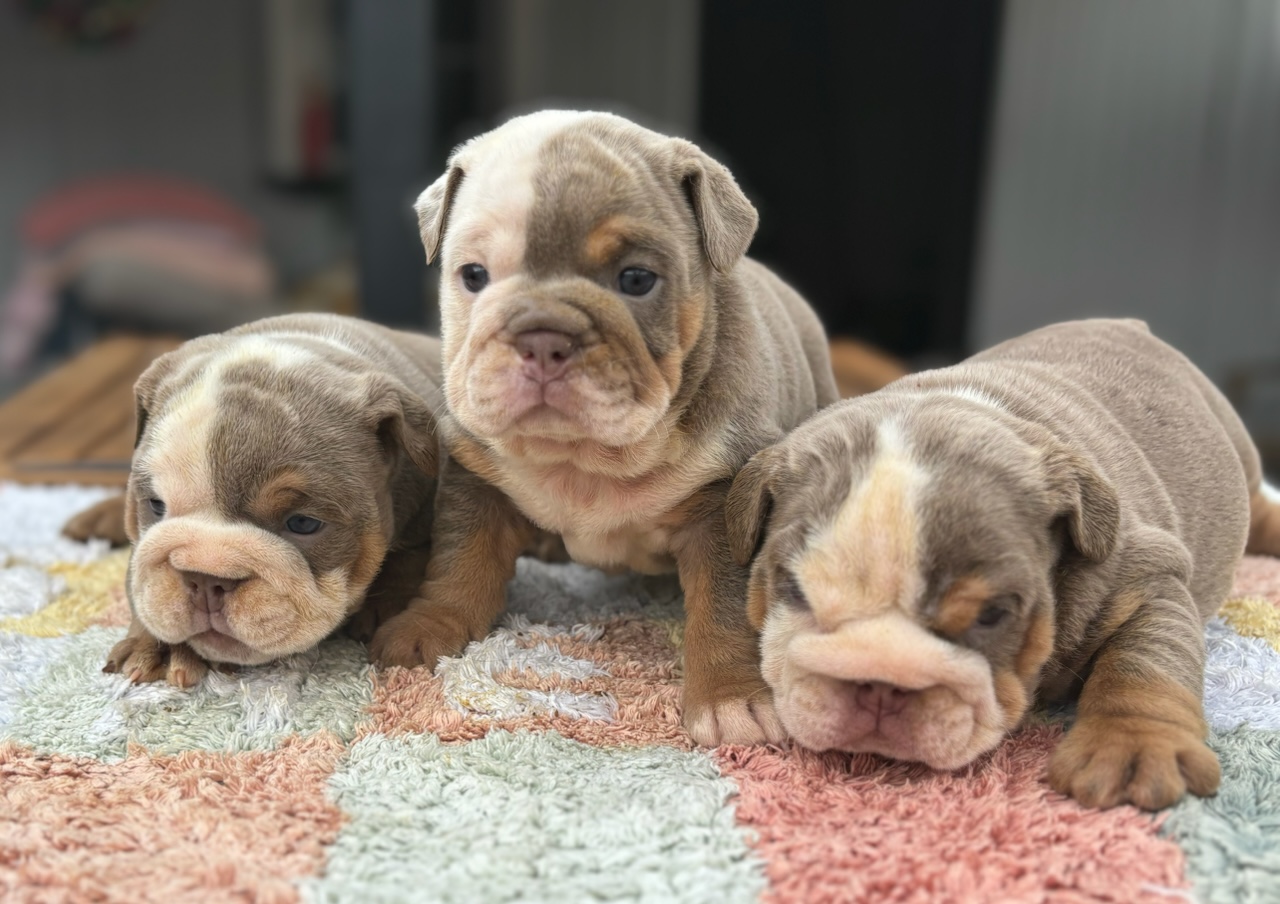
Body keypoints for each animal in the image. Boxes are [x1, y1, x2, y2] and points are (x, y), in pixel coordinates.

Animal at [89, 313, 442, 686]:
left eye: (303, 523)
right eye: (156, 505)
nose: (206, 579)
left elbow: (410, 557)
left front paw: (386, 607)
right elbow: (139, 574)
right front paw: (161, 646)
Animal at [369, 110, 839, 745]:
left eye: (637, 280)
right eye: (473, 276)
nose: (542, 335)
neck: (584, 456)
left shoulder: (726, 507)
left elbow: (724, 609)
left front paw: (729, 698)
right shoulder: (478, 481)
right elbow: (459, 563)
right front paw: (428, 625)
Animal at [725, 319, 1280, 808]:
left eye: (992, 615)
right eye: (794, 591)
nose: (880, 687)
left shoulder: (1146, 577)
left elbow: (1144, 664)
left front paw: (1134, 746)